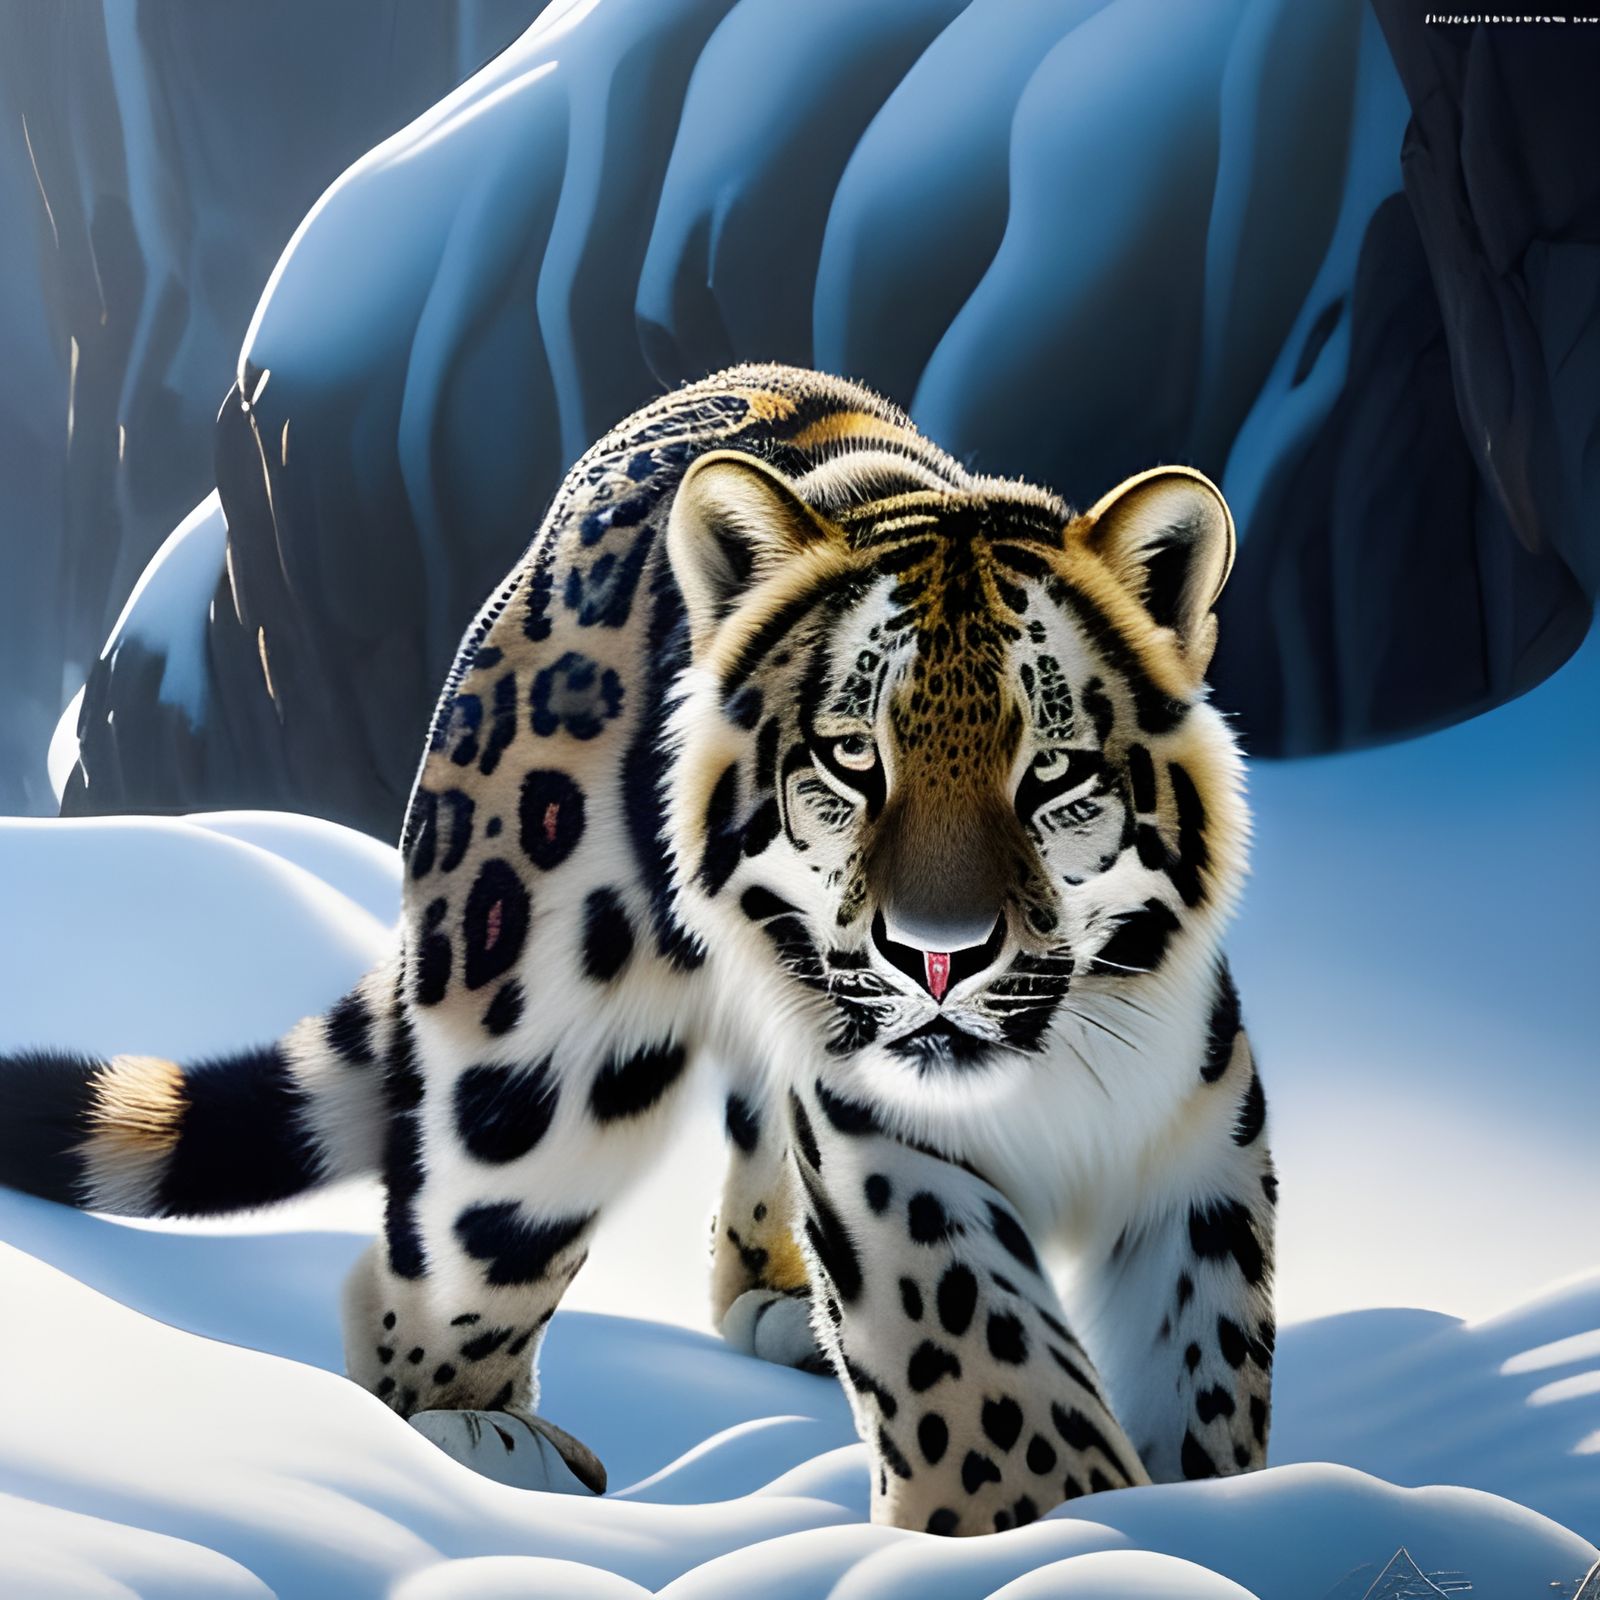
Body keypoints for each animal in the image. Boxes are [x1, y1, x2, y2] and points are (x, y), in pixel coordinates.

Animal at [0, 364, 1274, 1535]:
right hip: (529, 1054)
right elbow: (1000, 1394)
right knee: (432, 1271)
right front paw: (1076, 1525)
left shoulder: (1202, 1153)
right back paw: (487, 1437)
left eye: (1052, 769)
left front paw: (1209, 1508)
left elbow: (1210, 1362)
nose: (937, 957)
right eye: (851, 757)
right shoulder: (891, 1153)